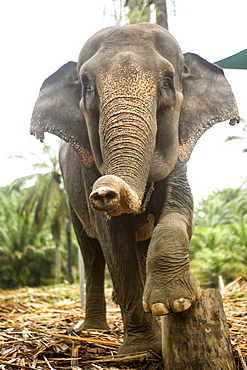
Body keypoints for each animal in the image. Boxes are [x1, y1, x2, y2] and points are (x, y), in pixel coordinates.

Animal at [29, 23, 239, 356]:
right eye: (87, 86)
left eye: (167, 82)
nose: (105, 191)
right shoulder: (86, 172)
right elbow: (113, 239)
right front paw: (140, 351)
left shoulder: (180, 153)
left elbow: (180, 209)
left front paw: (175, 303)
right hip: (71, 203)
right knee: (91, 253)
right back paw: (93, 330)